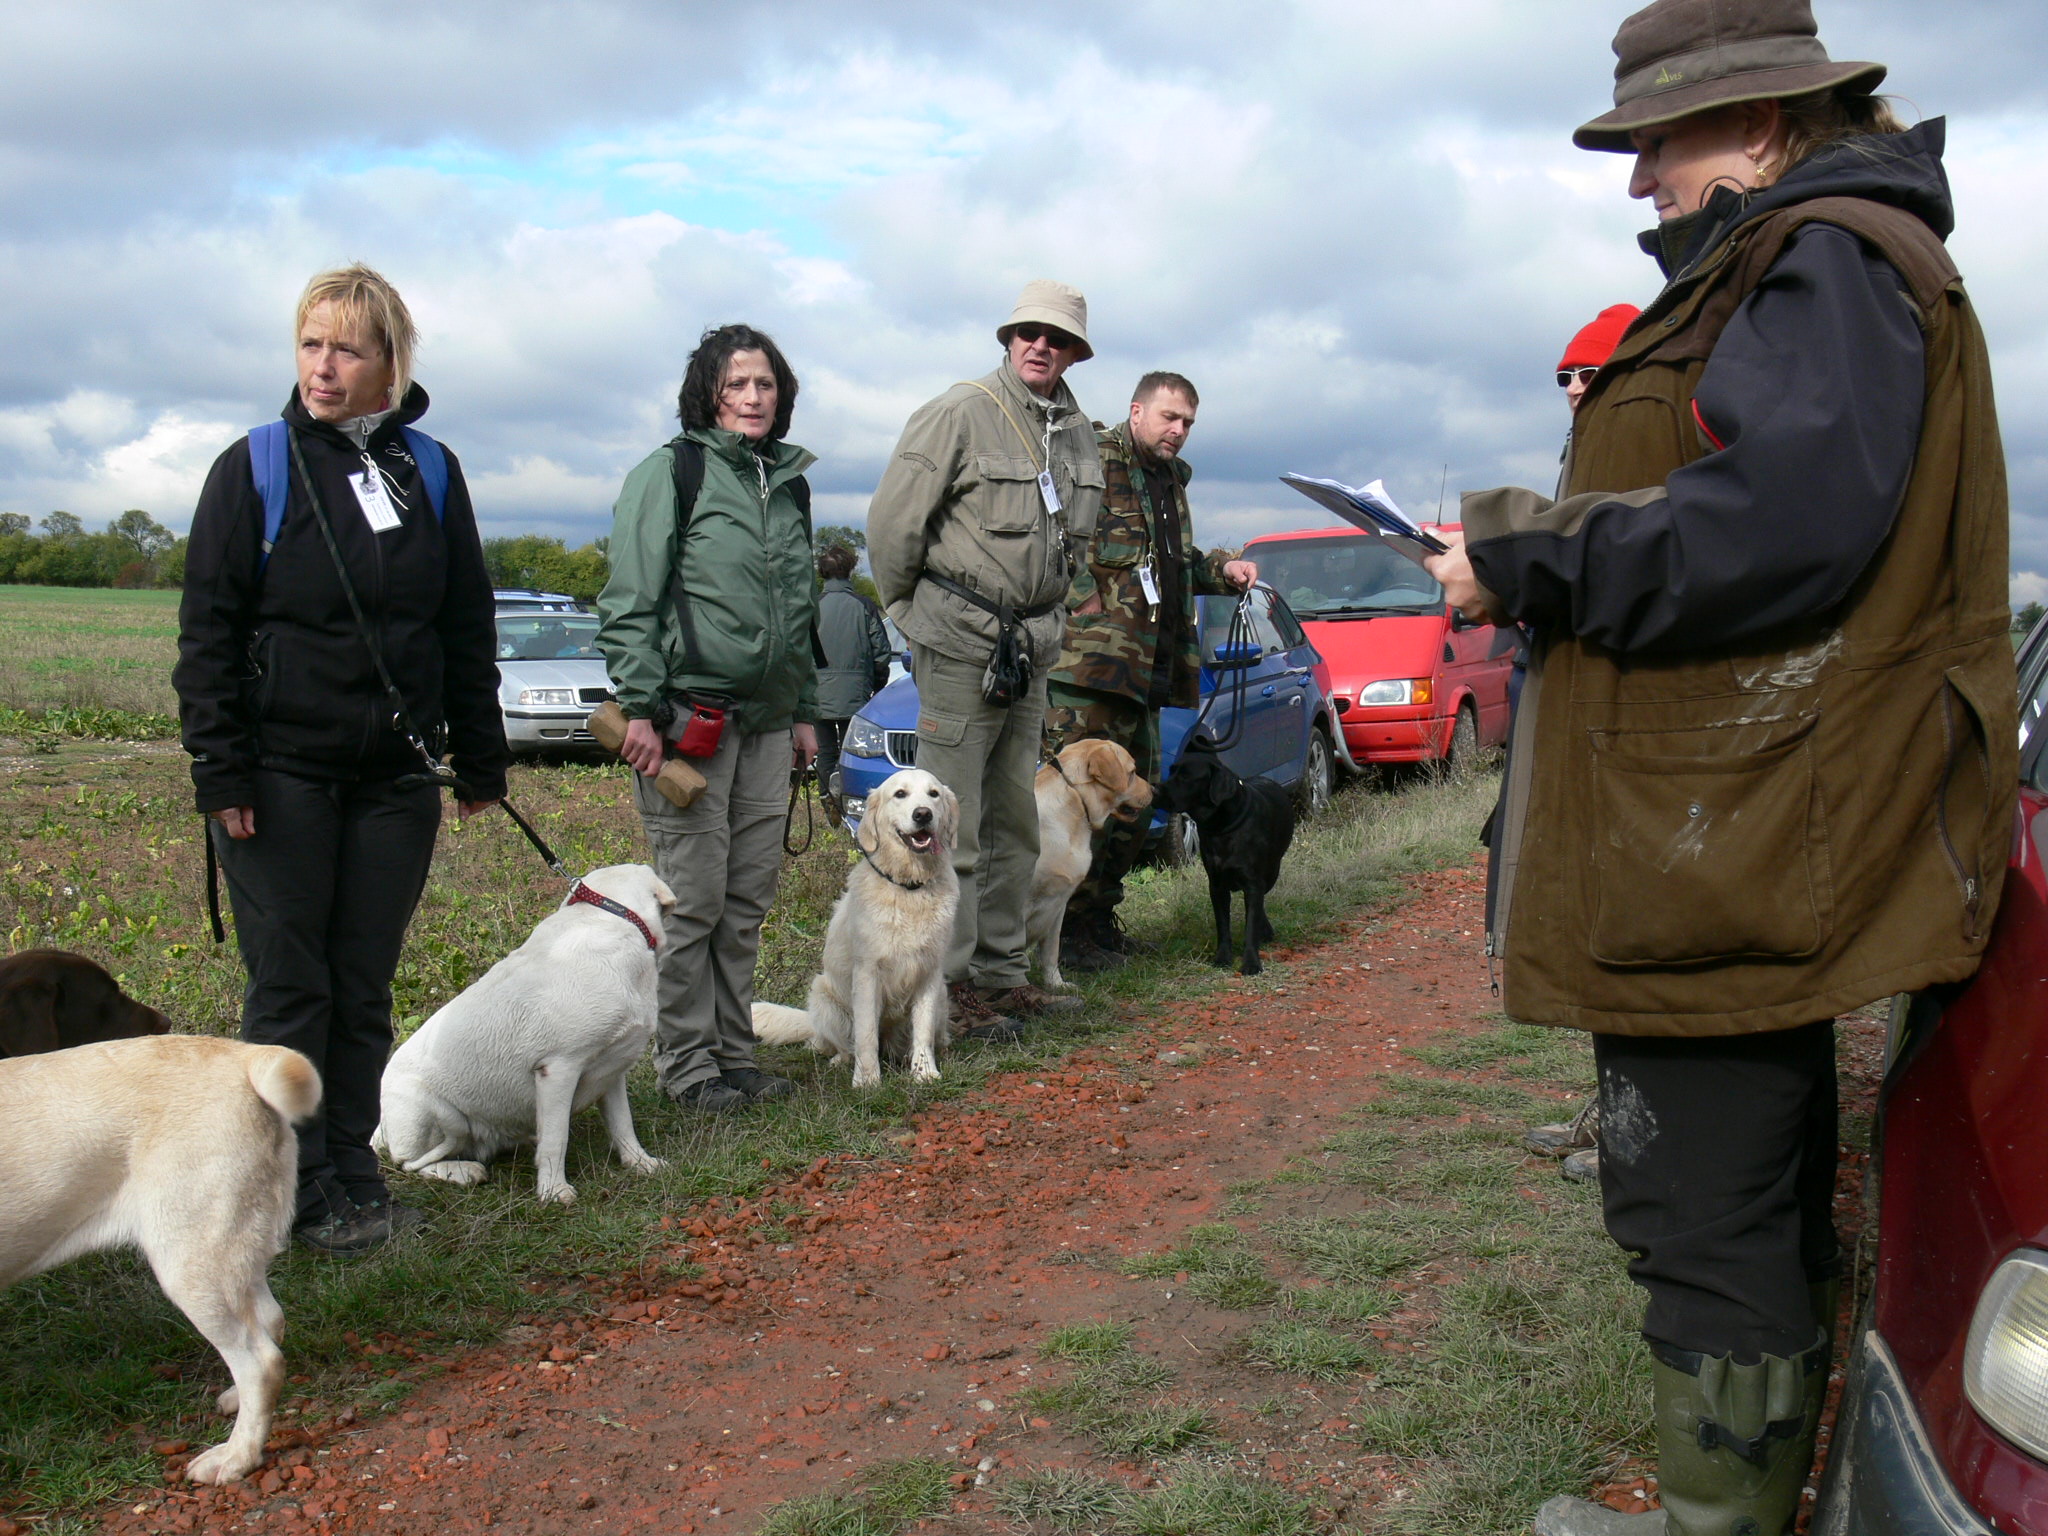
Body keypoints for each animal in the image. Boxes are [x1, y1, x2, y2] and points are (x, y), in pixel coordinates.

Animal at [0, 1036, 319, 1490]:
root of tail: (241, 1054)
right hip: (230, 1250)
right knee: (269, 1321)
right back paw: (235, 1402)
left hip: (189, 1266)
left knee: (262, 1362)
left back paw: (236, 1458)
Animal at [372, 868, 675, 1204]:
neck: (614, 917)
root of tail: (380, 1128)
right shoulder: (558, 1069)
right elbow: (556, 1138)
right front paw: (554, 1191)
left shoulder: (612, 1069)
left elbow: (623, 1124)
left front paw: (640, 1163)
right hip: (437, 1112)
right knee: (410, 1163)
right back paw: (464, 1171)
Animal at [753, 765, 958, 1081]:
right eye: (900, 794)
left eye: (933, 794)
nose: (923, 814)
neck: (908, 886)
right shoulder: (867, 973)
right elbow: (866, 1034)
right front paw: (867, 1079)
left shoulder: (929, 972)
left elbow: (922, 1031)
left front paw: (924, 1072)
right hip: (824, 997)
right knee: (837, 1044)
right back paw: (842, 1060)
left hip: (942, 998)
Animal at [1024, 741, 1155, 987]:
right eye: (1132, 772)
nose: (1155, 790)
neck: (1076, 800)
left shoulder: (1058, 905)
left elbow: (1051, 952)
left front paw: (1056, 985)